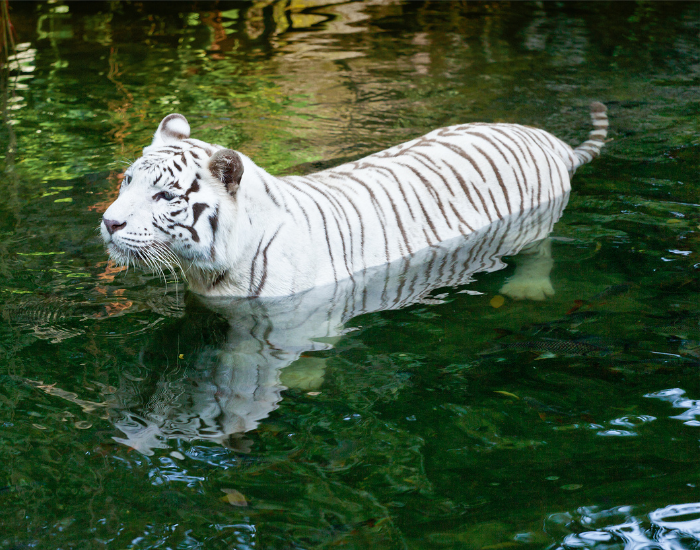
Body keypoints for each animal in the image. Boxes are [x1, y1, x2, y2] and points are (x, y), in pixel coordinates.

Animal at [101, 103, 608, 297]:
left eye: (165, 195)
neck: (210, 270)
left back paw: (528, 288)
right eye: (127, 181)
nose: (109, 223)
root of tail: (551, 141)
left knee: (541, 252)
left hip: (533, 229)